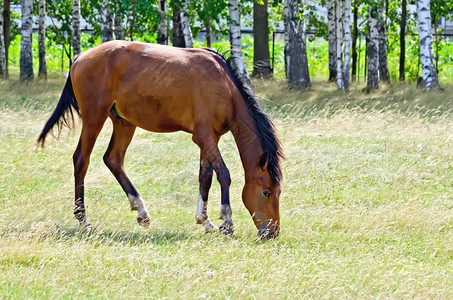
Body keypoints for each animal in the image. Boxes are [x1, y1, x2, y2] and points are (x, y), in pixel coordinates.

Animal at [38, 41, 282, 239]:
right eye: (266, 192)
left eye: (279, 192)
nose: (272, 232)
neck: (224, 87)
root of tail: (81, 57)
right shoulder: (204, 137)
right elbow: (223, 174)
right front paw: (227, 222)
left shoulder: (209, 139)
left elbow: (205, 178)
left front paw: (205, 221)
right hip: (94, 117)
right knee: (81, 160)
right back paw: (84, 220)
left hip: (124, 123)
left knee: (113, 159)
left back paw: (141, 212)